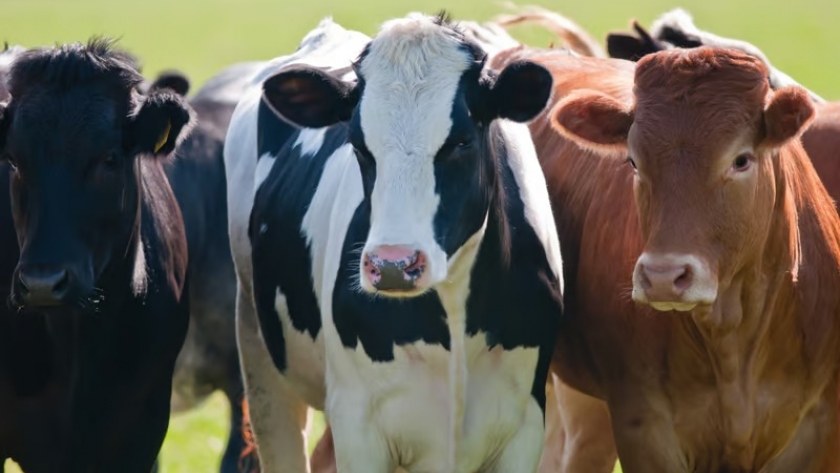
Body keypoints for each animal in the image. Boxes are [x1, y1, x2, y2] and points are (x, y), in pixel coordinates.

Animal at [225, 12, 564, 470]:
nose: (393, 265)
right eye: (358, 145)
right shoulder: (358, 424)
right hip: (260, 362)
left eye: (461, 142)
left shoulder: (525, 423)